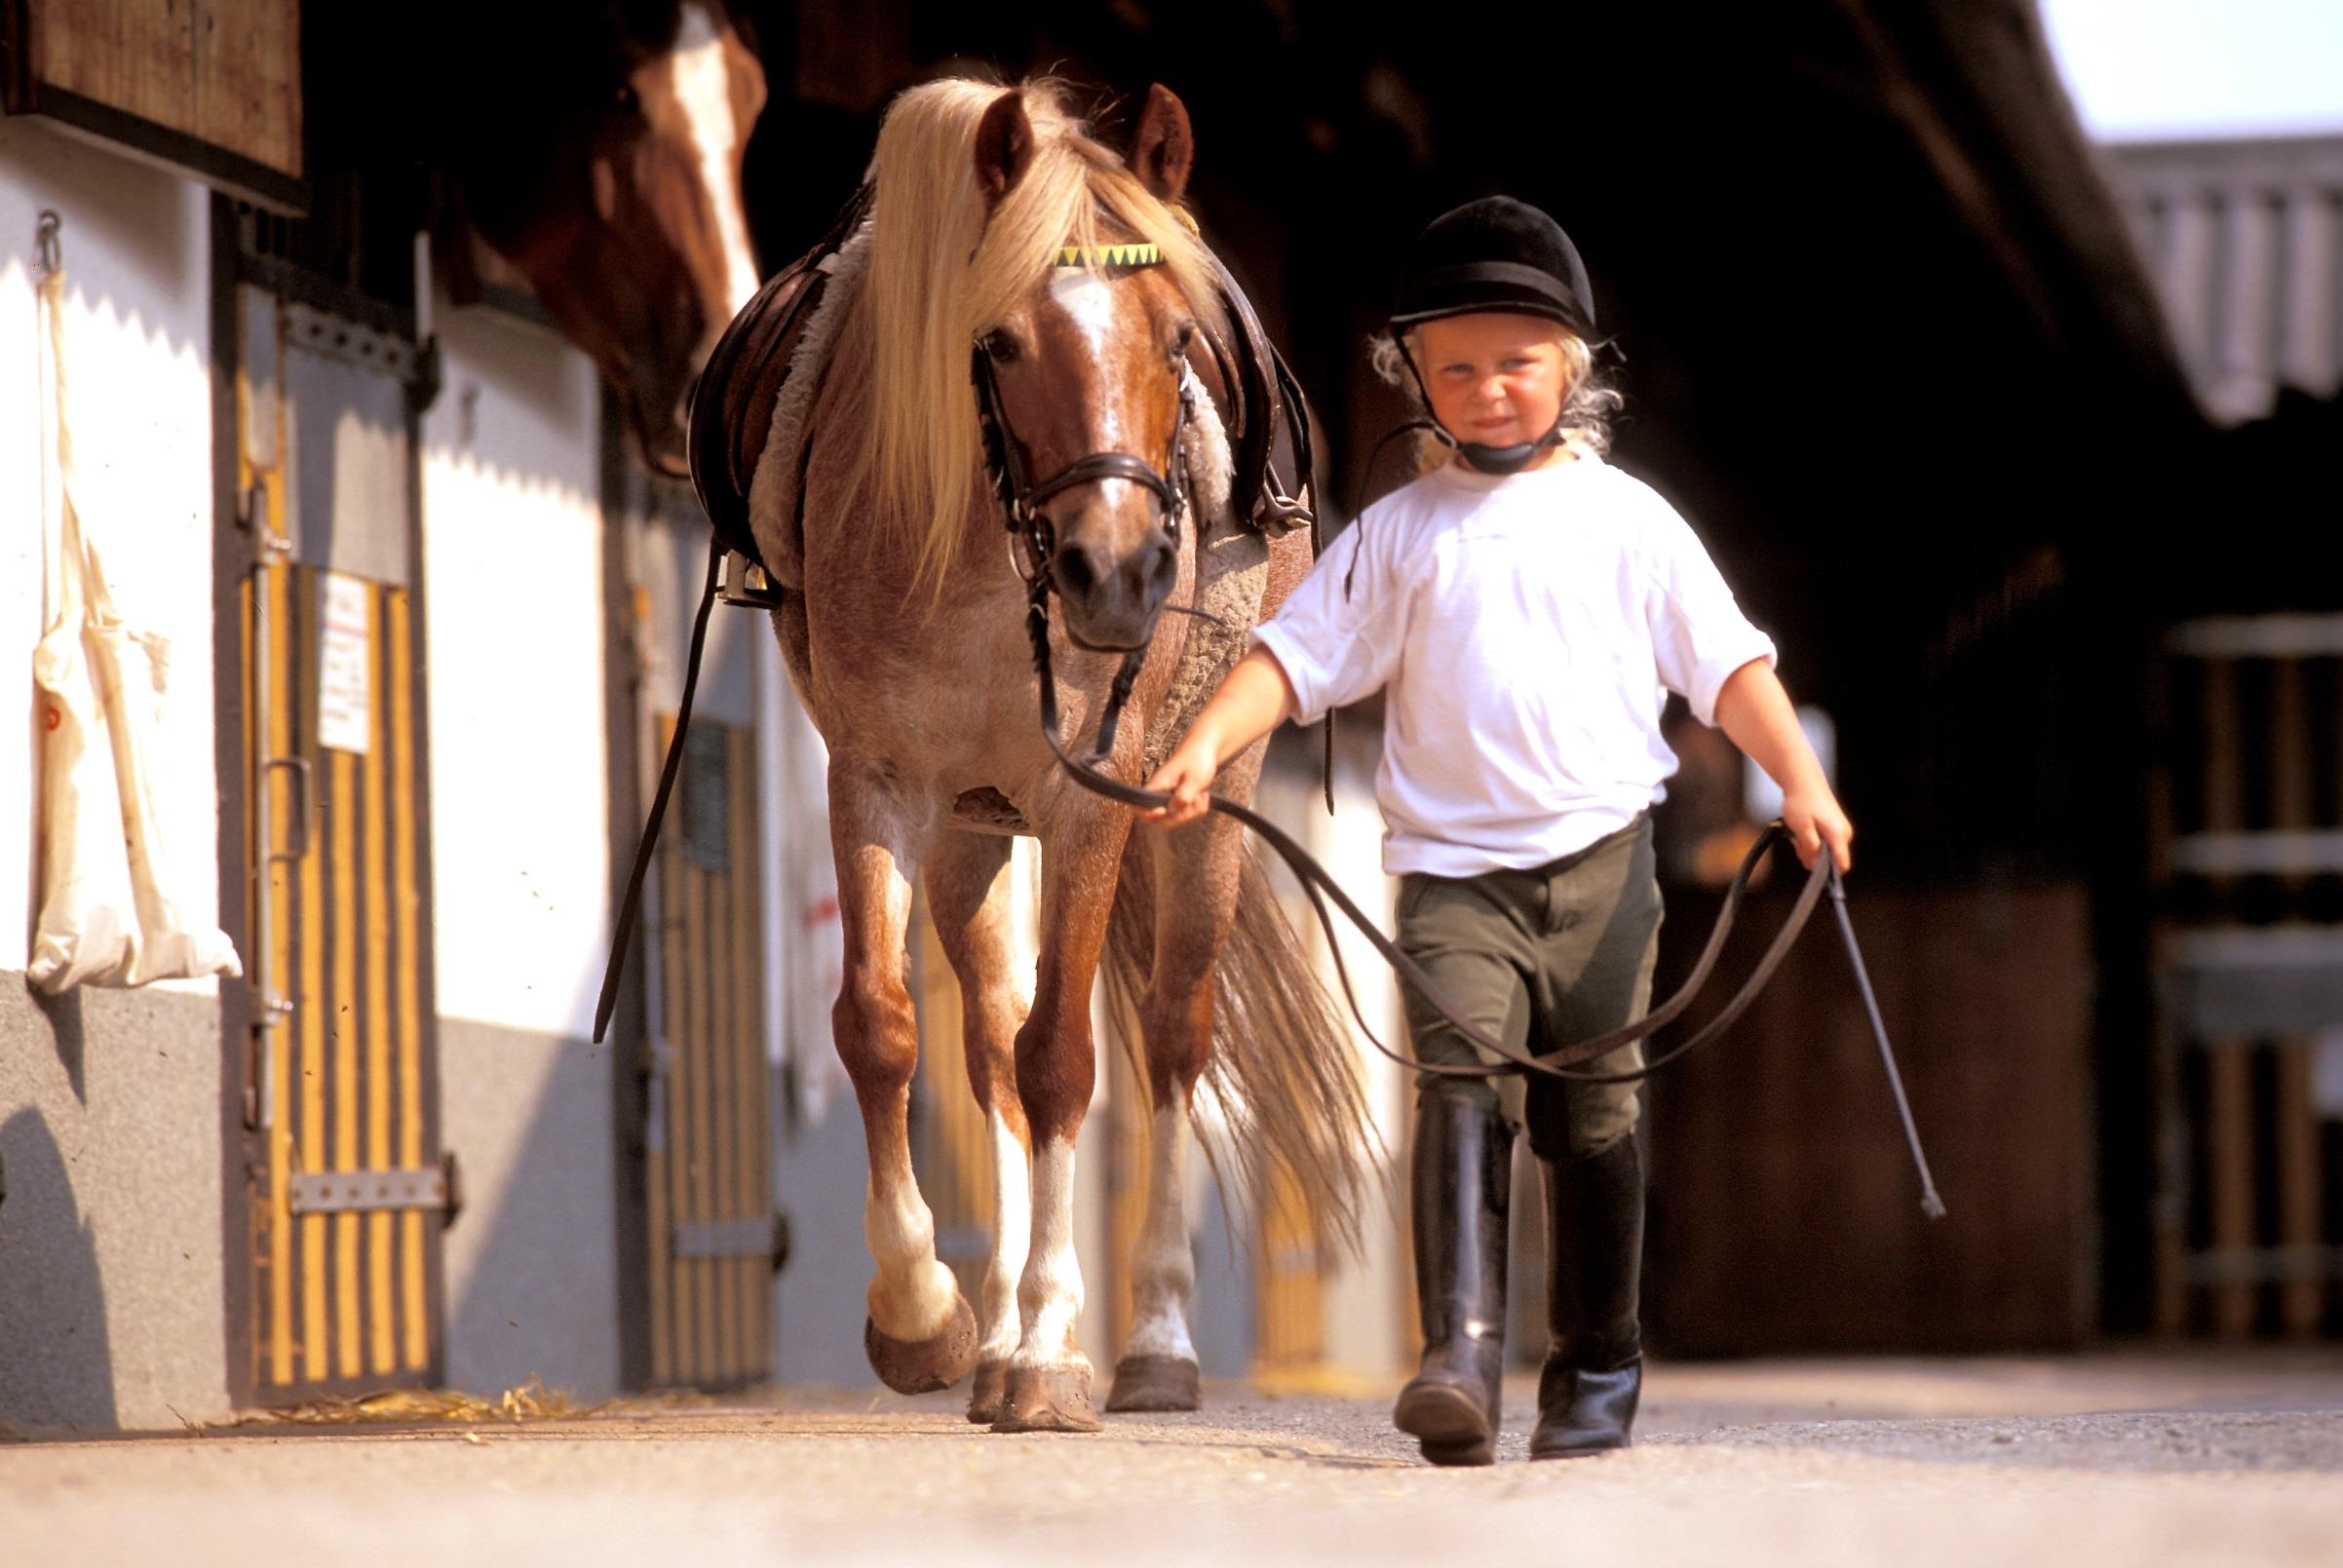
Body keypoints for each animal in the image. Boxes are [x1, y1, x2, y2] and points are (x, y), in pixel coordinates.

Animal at [731, 82, 1377, 1434]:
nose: (1118, 572)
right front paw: (928, 1317)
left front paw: (1047, 1359)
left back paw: (1151, 1344)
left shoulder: (1089, 798)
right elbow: (887, 1029)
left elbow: (1064, 1057)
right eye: (1001, 342)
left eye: (1177, 339)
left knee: (1174, 1038)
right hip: (974, 833)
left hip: (1208, 806)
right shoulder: (876, 783)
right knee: (985, 1049)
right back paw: (999, 1333)